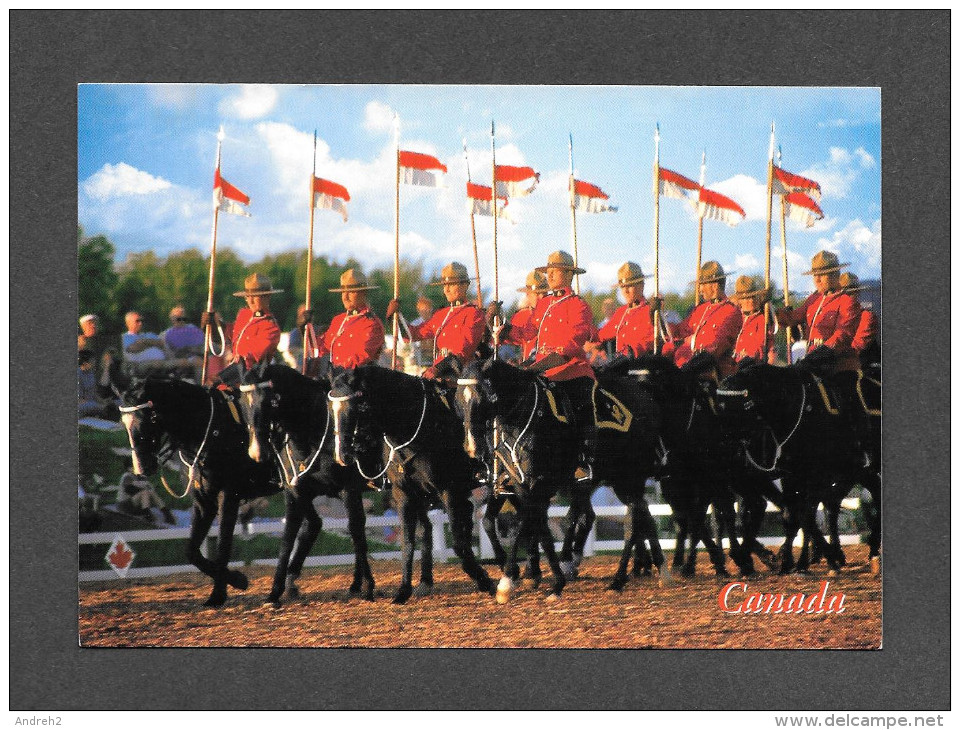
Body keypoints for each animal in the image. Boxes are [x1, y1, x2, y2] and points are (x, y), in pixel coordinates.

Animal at [117, 376, 280, 604]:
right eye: (125, 422)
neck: (212, 431)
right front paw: (237, 580)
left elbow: (222, 546)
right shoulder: (204, 500)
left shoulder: (228, 497)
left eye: (151, 418)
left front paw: (219, 594)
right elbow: (192, 551)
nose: (142, 467)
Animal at [236, 362, 378, 604]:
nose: (257, 451)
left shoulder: (348, 490)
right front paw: (277, 590)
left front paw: (369, 586)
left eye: (270, 401)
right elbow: (293, 534)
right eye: (243, 402)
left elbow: (355, 530)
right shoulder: (296, 492)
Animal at [330, 364, 496, 604]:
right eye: (331, 407)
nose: (342, 455)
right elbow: (408, 542)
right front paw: (403, 590)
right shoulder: (404, 494)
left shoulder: (449, 490)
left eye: (358, 407)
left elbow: (457, 541)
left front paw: (485, 581)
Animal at [458, 354, 668, 596]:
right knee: (639, 514)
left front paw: (508, 580)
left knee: (632, 523)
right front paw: (546, 578)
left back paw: (618, 580)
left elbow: (525, 524)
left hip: (627, 478)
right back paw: (658, 568)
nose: (472, 447)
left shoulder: (539, 483)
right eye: (458, 400)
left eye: (483, 397)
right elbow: (536, 527)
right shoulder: (521, 485)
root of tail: (645, 397)